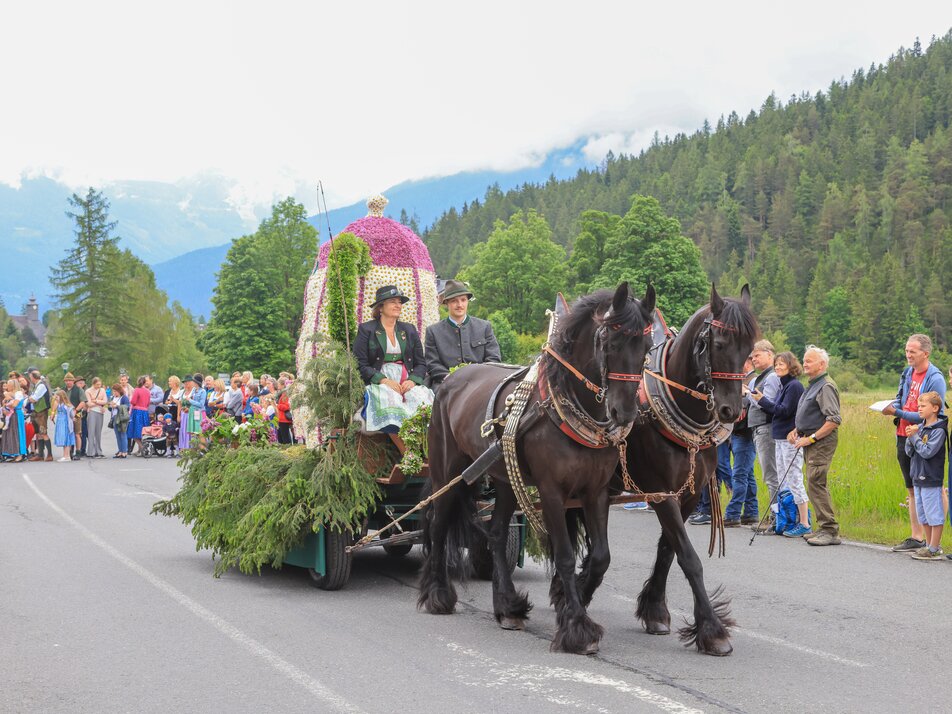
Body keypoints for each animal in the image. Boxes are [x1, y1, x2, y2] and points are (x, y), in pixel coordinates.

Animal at [422, 282, 656, 652]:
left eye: (647, 348)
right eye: (610, 342)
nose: (625, 413)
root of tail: (455, 377)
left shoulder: (596, 492)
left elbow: (601, 557)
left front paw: (572, 600)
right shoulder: (551, 492)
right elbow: (564, 556)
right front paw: (576, 627)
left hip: (505, 480)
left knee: (495, 533)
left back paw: (507, 606)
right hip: (448, 472)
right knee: (437, 525)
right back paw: (438, 595)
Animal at [624, 284, 760, 656]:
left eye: (751, 349)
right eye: (719, 344)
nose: (732, 411)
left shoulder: (687, 494)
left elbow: (668, 550)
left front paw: (655, 610)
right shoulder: (659, 492)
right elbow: (689, 558)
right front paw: (712, 630)